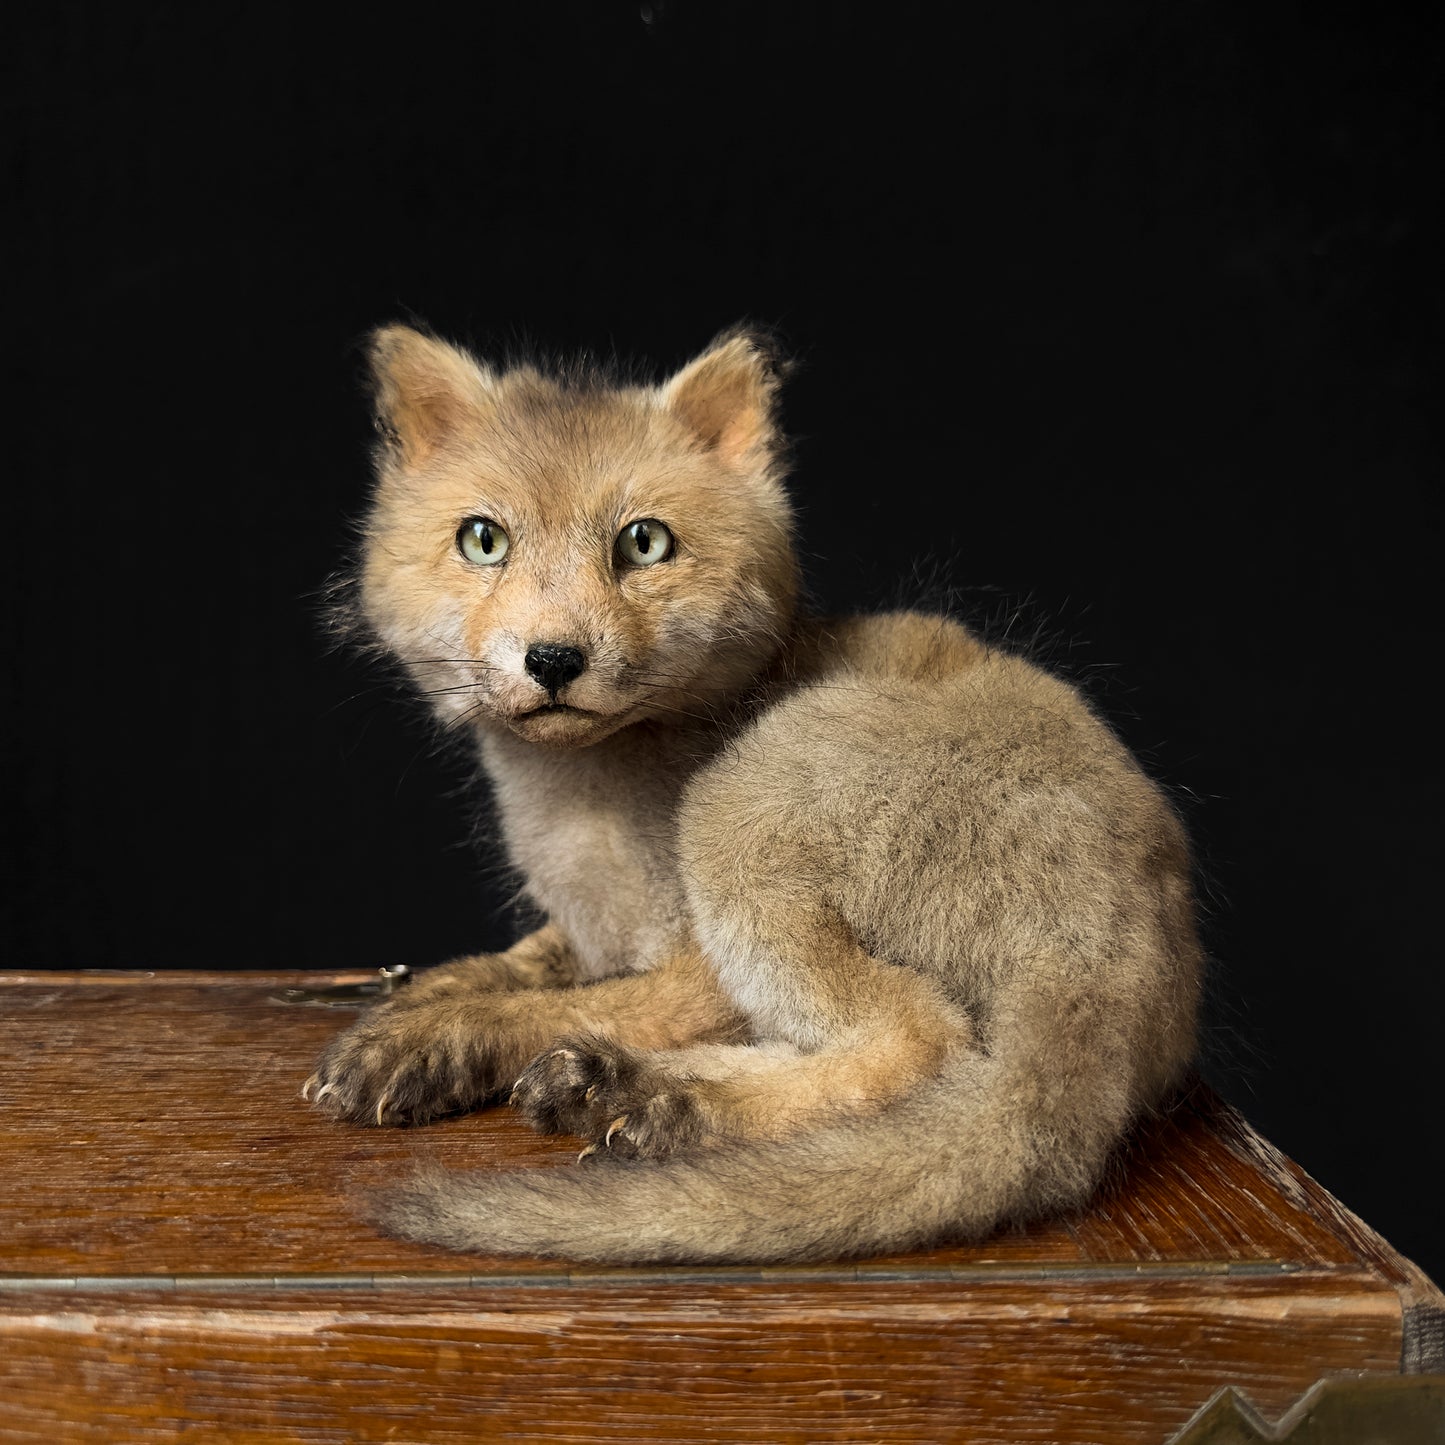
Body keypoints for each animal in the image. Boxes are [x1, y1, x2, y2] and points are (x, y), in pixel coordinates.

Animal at [304, 322, 1203, 1264]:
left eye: (644, 543)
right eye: (483, 540)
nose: (553, 659)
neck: (581, 817)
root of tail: (1116, 957)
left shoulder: (694, 965)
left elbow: (587, 1001)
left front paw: (439, 1036)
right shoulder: (585, 928)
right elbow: (517, 964)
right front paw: (428, 994)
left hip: (742, 805)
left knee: (922, 1041)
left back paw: (659, 1099)